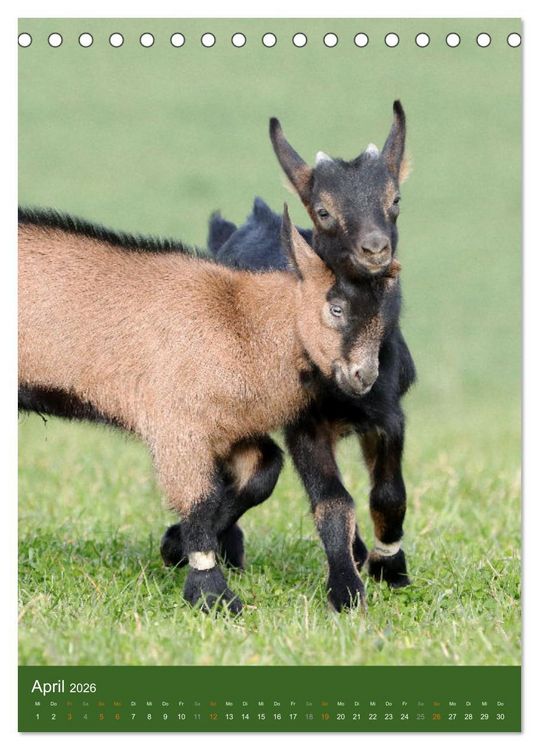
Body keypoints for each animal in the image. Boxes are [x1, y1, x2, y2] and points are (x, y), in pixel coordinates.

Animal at [19, 205, 401, 612]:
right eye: (336, 308)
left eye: (383, 317)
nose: (364, 376)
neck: (240, 321)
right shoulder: (176, 426)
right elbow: (201, 499)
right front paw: (212, 594)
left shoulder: (229, 430)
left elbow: (263, 472)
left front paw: (173, 547)